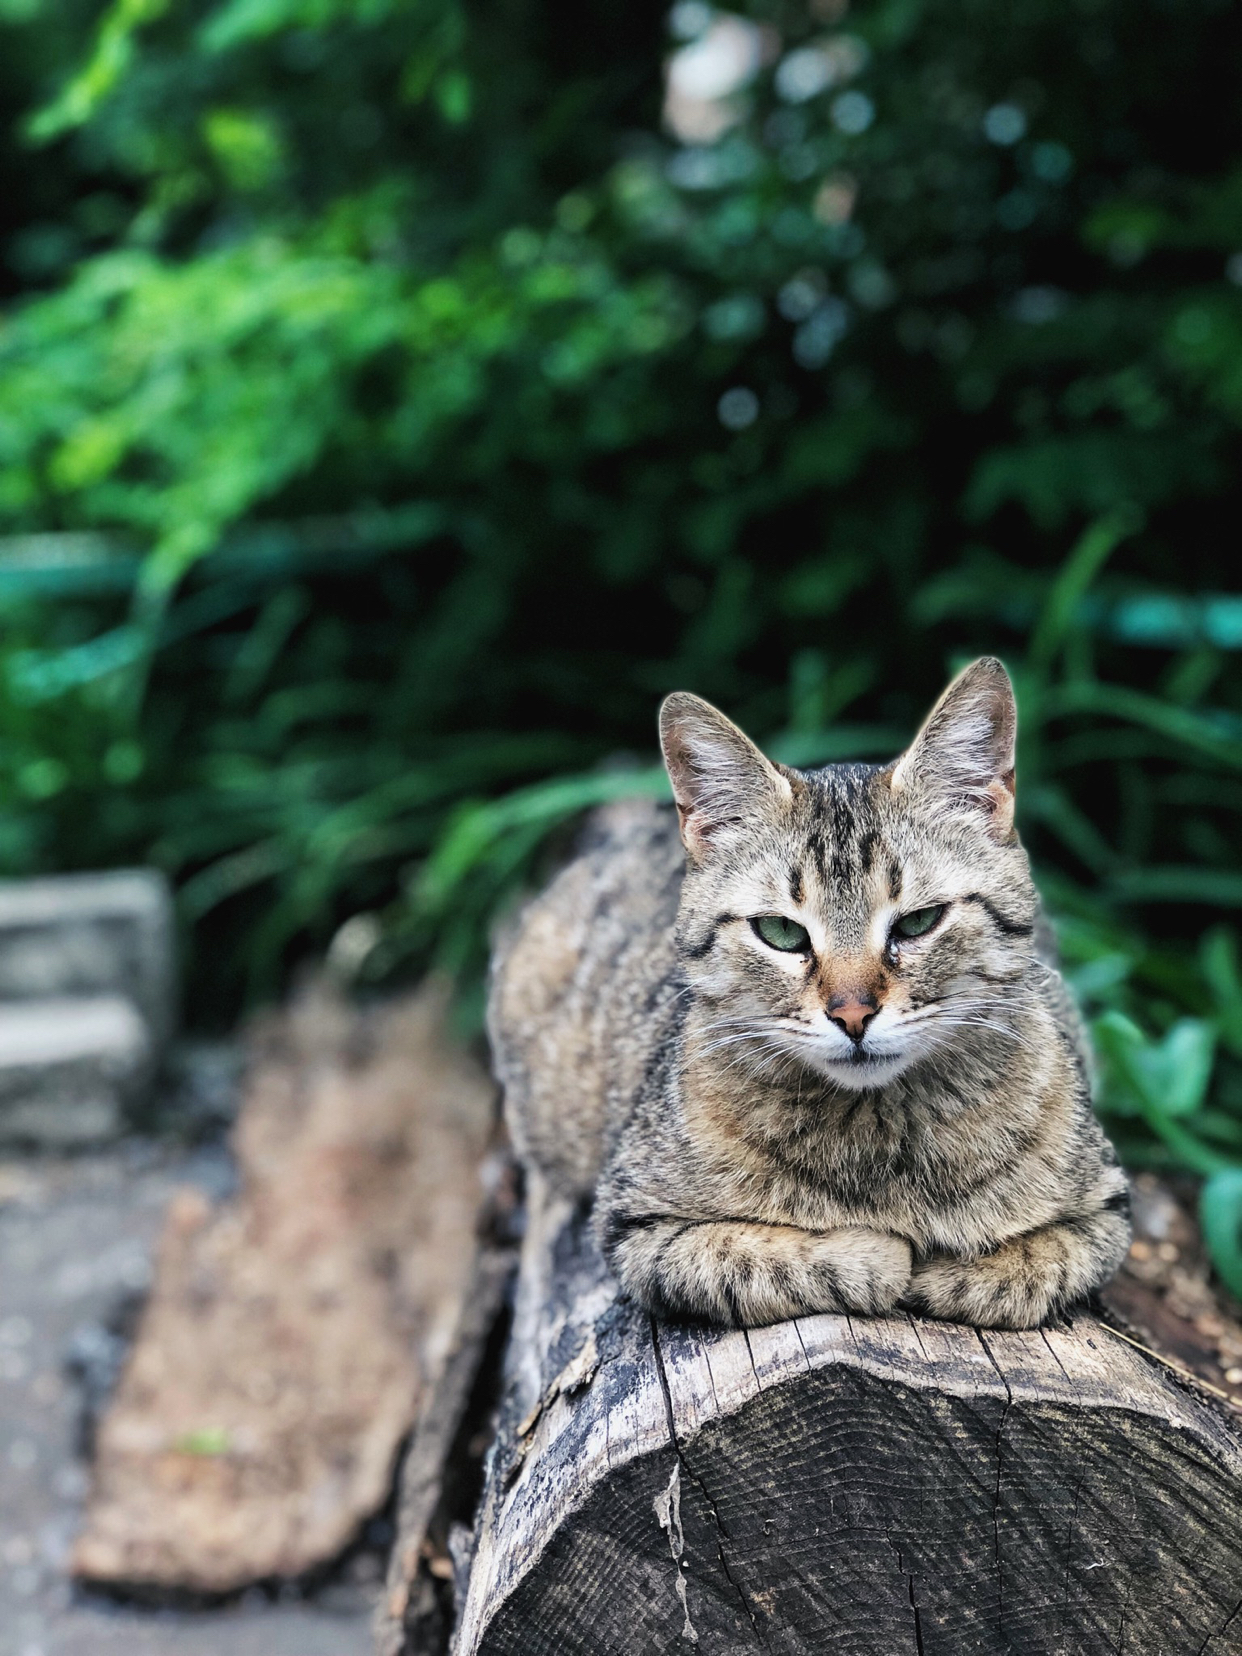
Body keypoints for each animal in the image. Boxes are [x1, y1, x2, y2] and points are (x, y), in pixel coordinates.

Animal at [490, 659, 1132, 1331]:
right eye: (780, 932)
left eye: (918, 922)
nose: (852, 1014)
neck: (879, 1139)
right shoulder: (636, 1223)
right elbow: (773, 1258)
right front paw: (879, 1253)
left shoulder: (1104, 1210)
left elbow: (1028, 1269)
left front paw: (952, 1267)